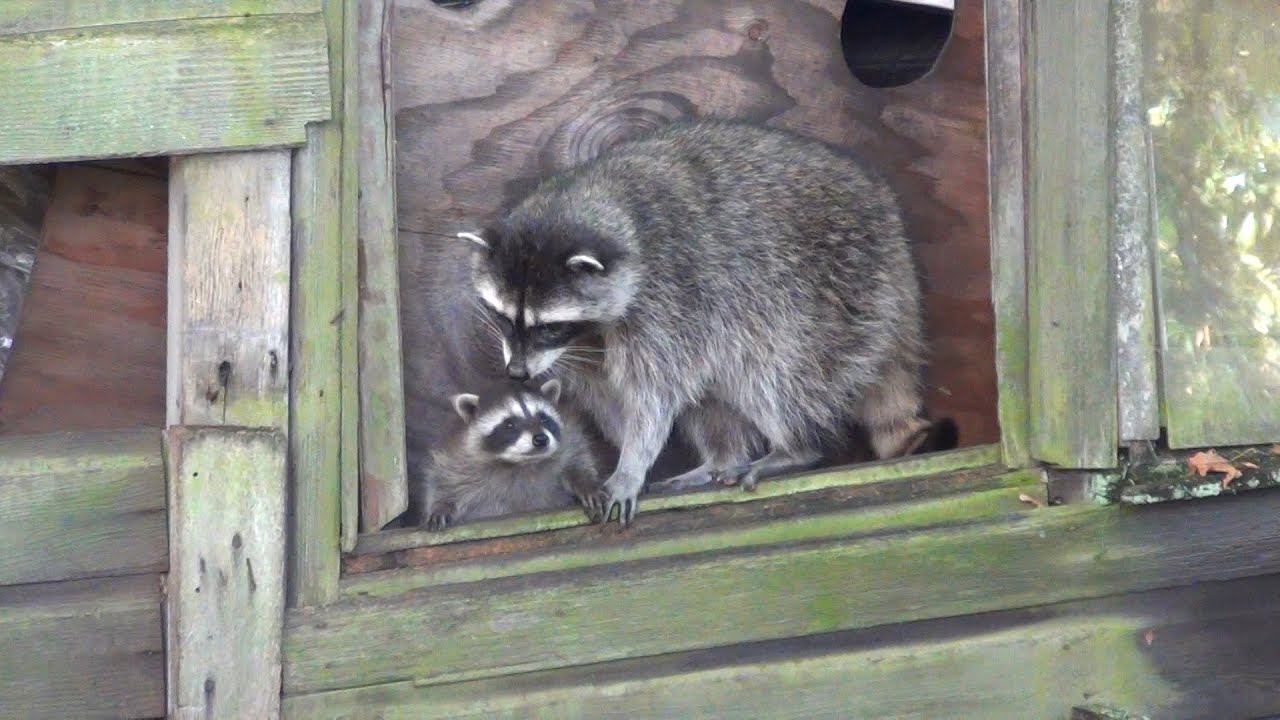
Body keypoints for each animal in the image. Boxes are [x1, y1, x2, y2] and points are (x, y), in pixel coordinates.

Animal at [423, 378, 601, 530]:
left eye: (543, 418)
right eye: (509, 424)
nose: (541, 439)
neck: (522, 463)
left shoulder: (569, 437)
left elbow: (577, 458)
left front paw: (586, 483)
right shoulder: (459, 456)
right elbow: (446, 480)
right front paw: (442, 505)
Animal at [456, 119, 956, 525]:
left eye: (548, 326)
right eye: (503, 317)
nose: (516, 372)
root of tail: (896, 245)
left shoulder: (668, 296)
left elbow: (654, 394)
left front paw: (633, 461)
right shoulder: (588, 343)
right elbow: (610, 395)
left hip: (832, 292)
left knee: (776, 373)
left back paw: (795, 444)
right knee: (715, 395)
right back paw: (721, 456)